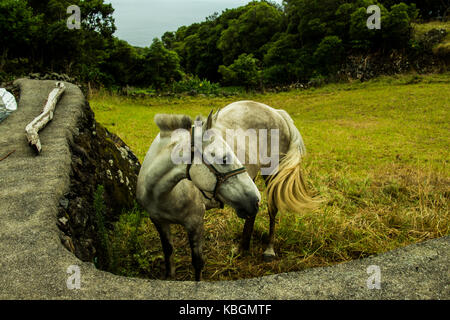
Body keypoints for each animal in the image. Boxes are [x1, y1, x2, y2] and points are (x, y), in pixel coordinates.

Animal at [137, 100, 316, 280]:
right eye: (224, 159)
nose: (254, 199)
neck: (162, 193)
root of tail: (276, 112)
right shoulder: (158, 221)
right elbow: (168, 253)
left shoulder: (195, 223)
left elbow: (197, 262)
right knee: (252, 215)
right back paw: (242, 247)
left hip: (272, 174)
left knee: (272, 209)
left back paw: (269, 250)